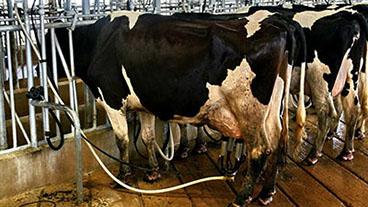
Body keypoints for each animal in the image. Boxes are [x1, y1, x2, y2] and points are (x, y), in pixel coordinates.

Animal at [45, 10, 308, 206]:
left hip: (248, 109)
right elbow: (148, 137)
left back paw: (242, 198)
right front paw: (153, 171)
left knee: (259, 150)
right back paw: (266, 192)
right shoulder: (144, 104)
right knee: (277, 141)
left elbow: (123, 140)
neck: (97, 41)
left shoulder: (111, 99)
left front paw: (122, 176)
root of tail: (276, 24)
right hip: (272, 107)